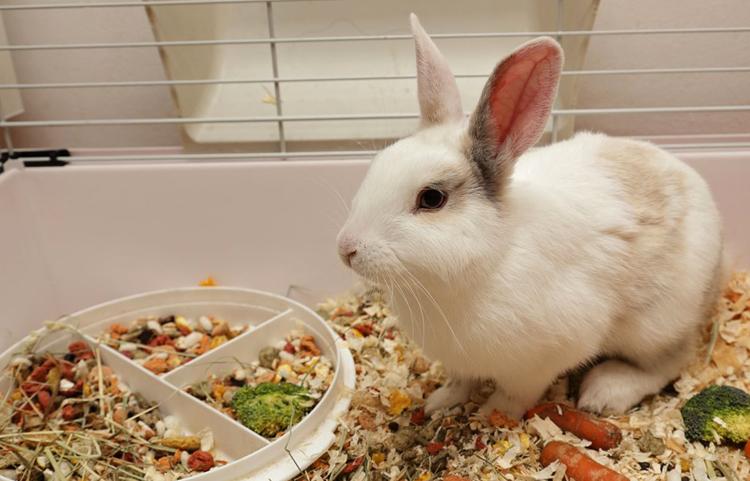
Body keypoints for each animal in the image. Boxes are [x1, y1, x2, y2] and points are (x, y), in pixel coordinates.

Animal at [336, 13, 725, 418]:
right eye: (377, 164)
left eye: (431, 198)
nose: (346, 249)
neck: (488, 260)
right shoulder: (459, 362)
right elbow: (460, 382)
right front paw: (439, 404)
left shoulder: (535, 365)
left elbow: (515, 395)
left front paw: (491, 416)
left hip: (656, 324)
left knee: (670, 360)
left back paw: (604, 392)